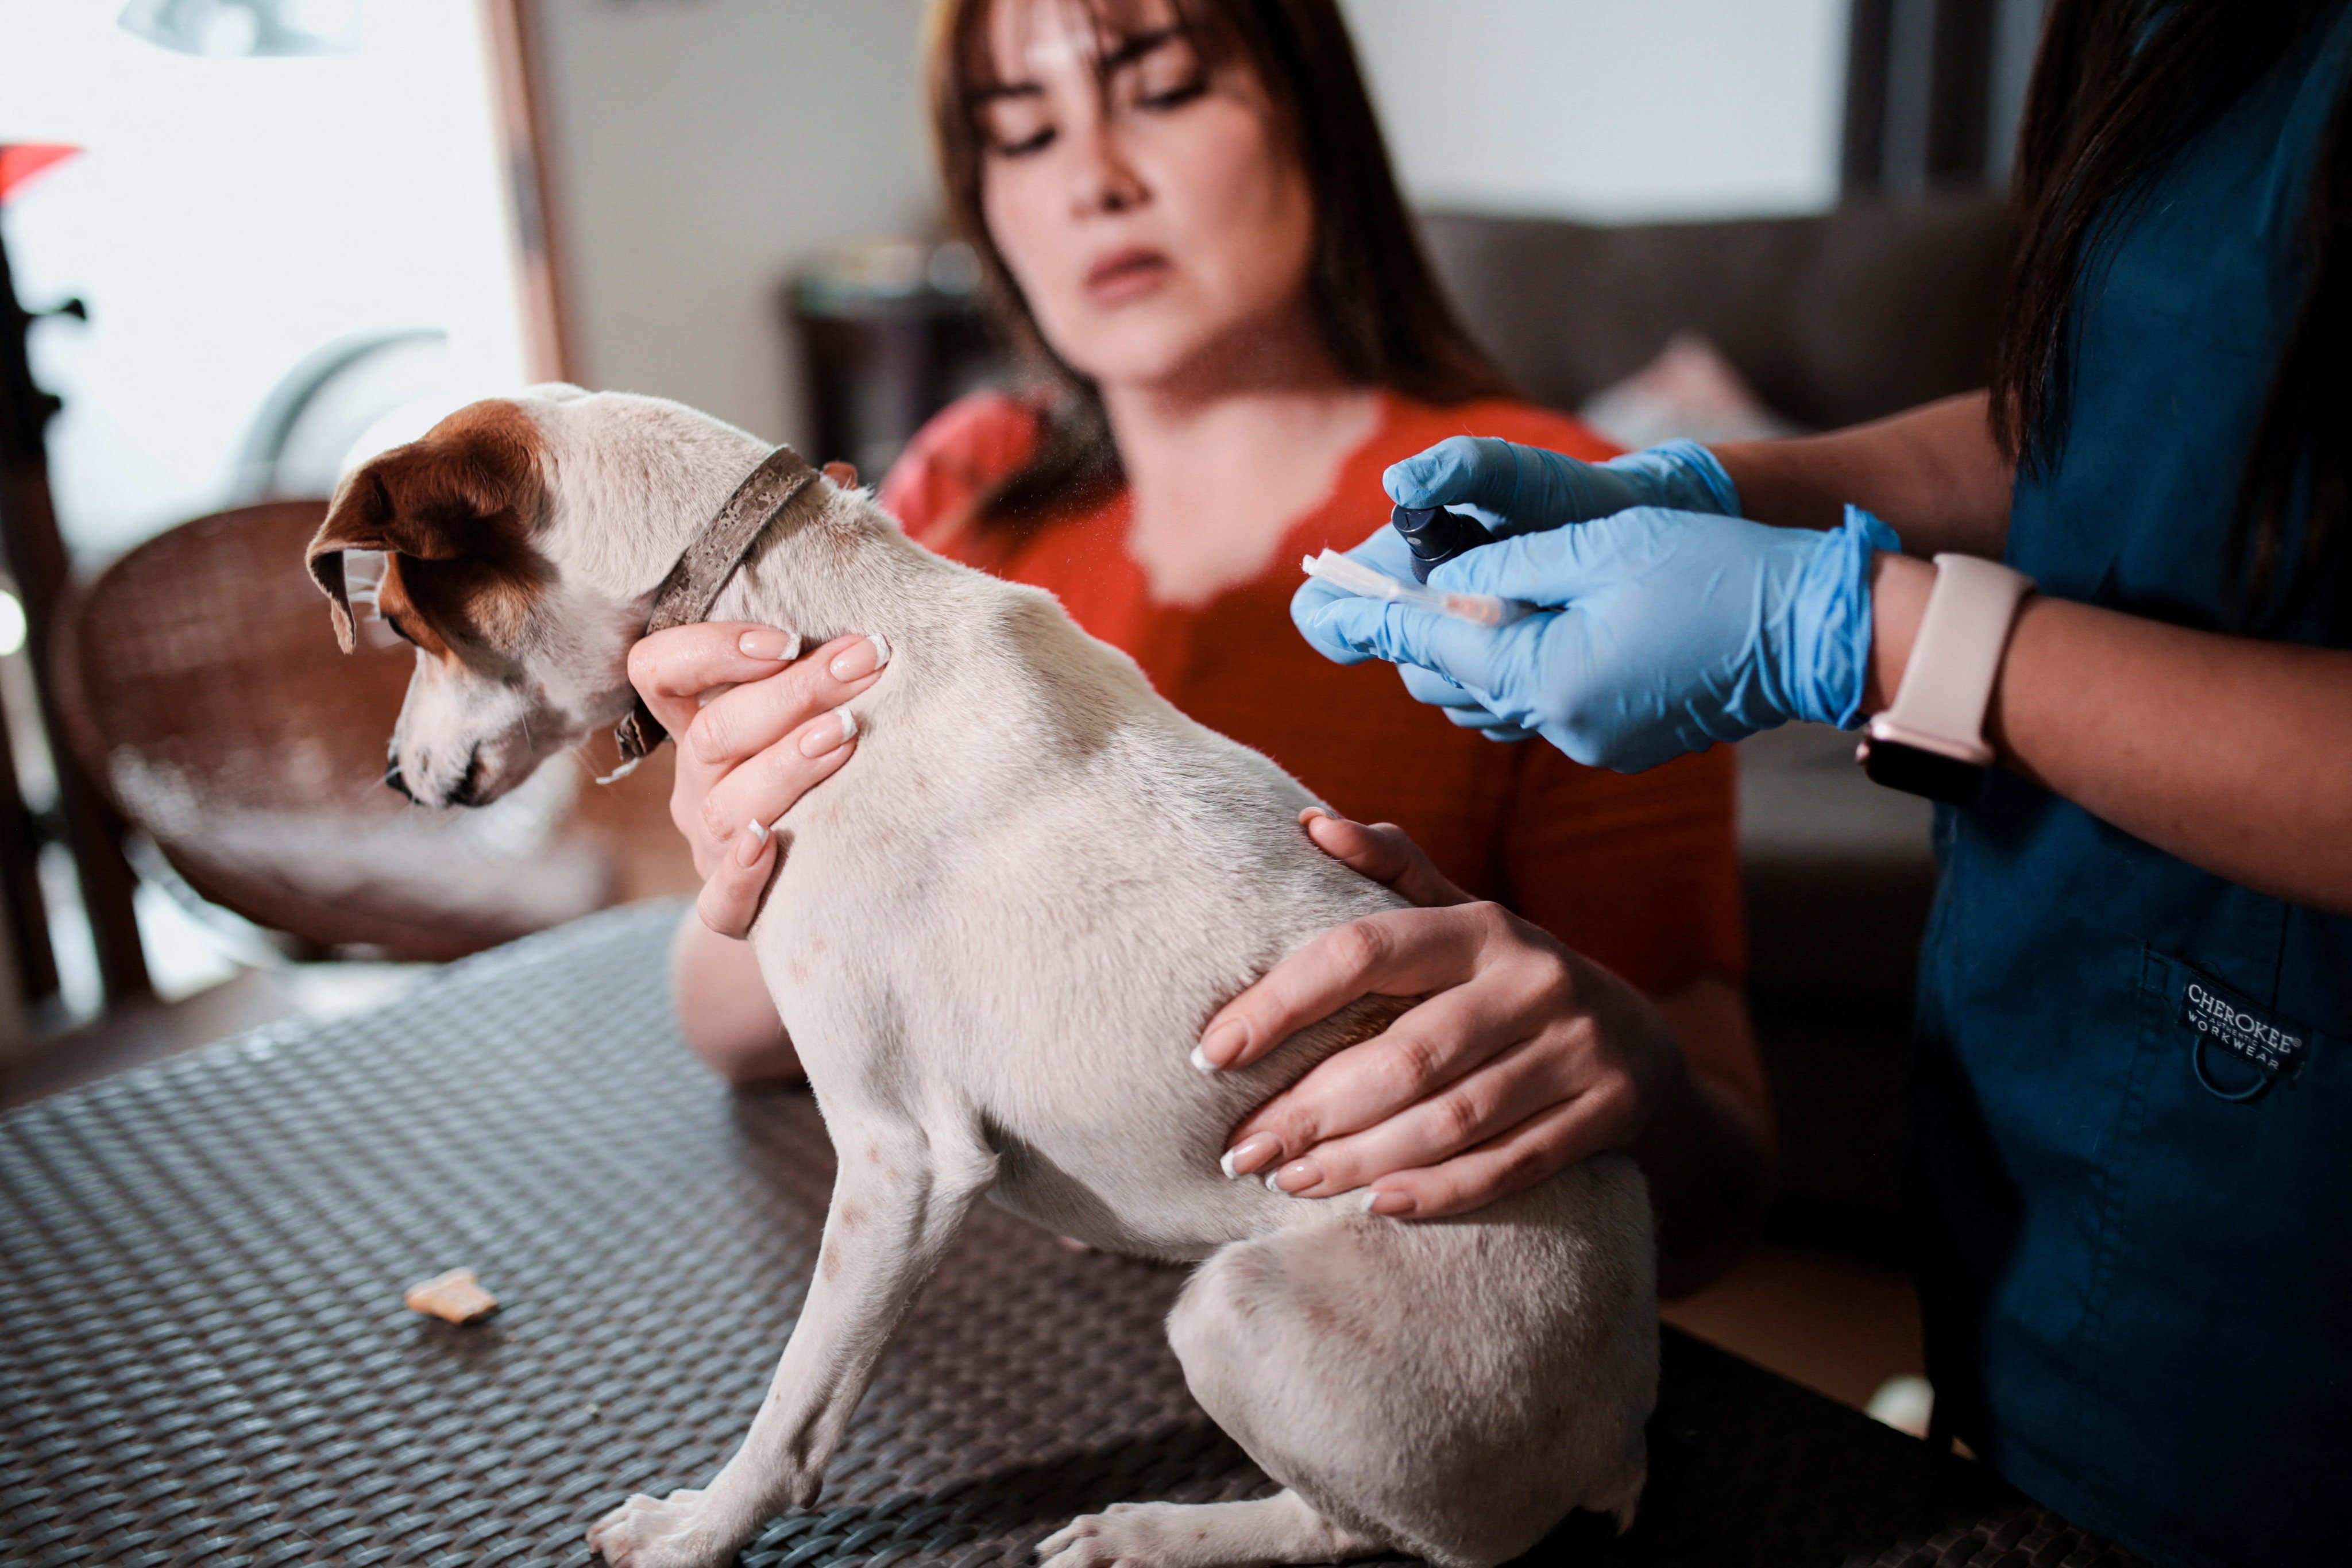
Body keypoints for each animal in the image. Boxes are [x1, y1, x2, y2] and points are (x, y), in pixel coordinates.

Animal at [308, 383, 1655, 1568]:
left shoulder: (897, 1157)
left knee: (1361, 1529)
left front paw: (698, 1529)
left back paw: (1155, 1535)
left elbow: (796, 1407)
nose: (390, 779)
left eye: (406, 630)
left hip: (1235, 1317)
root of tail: (1617, 1426)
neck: (786, 605)